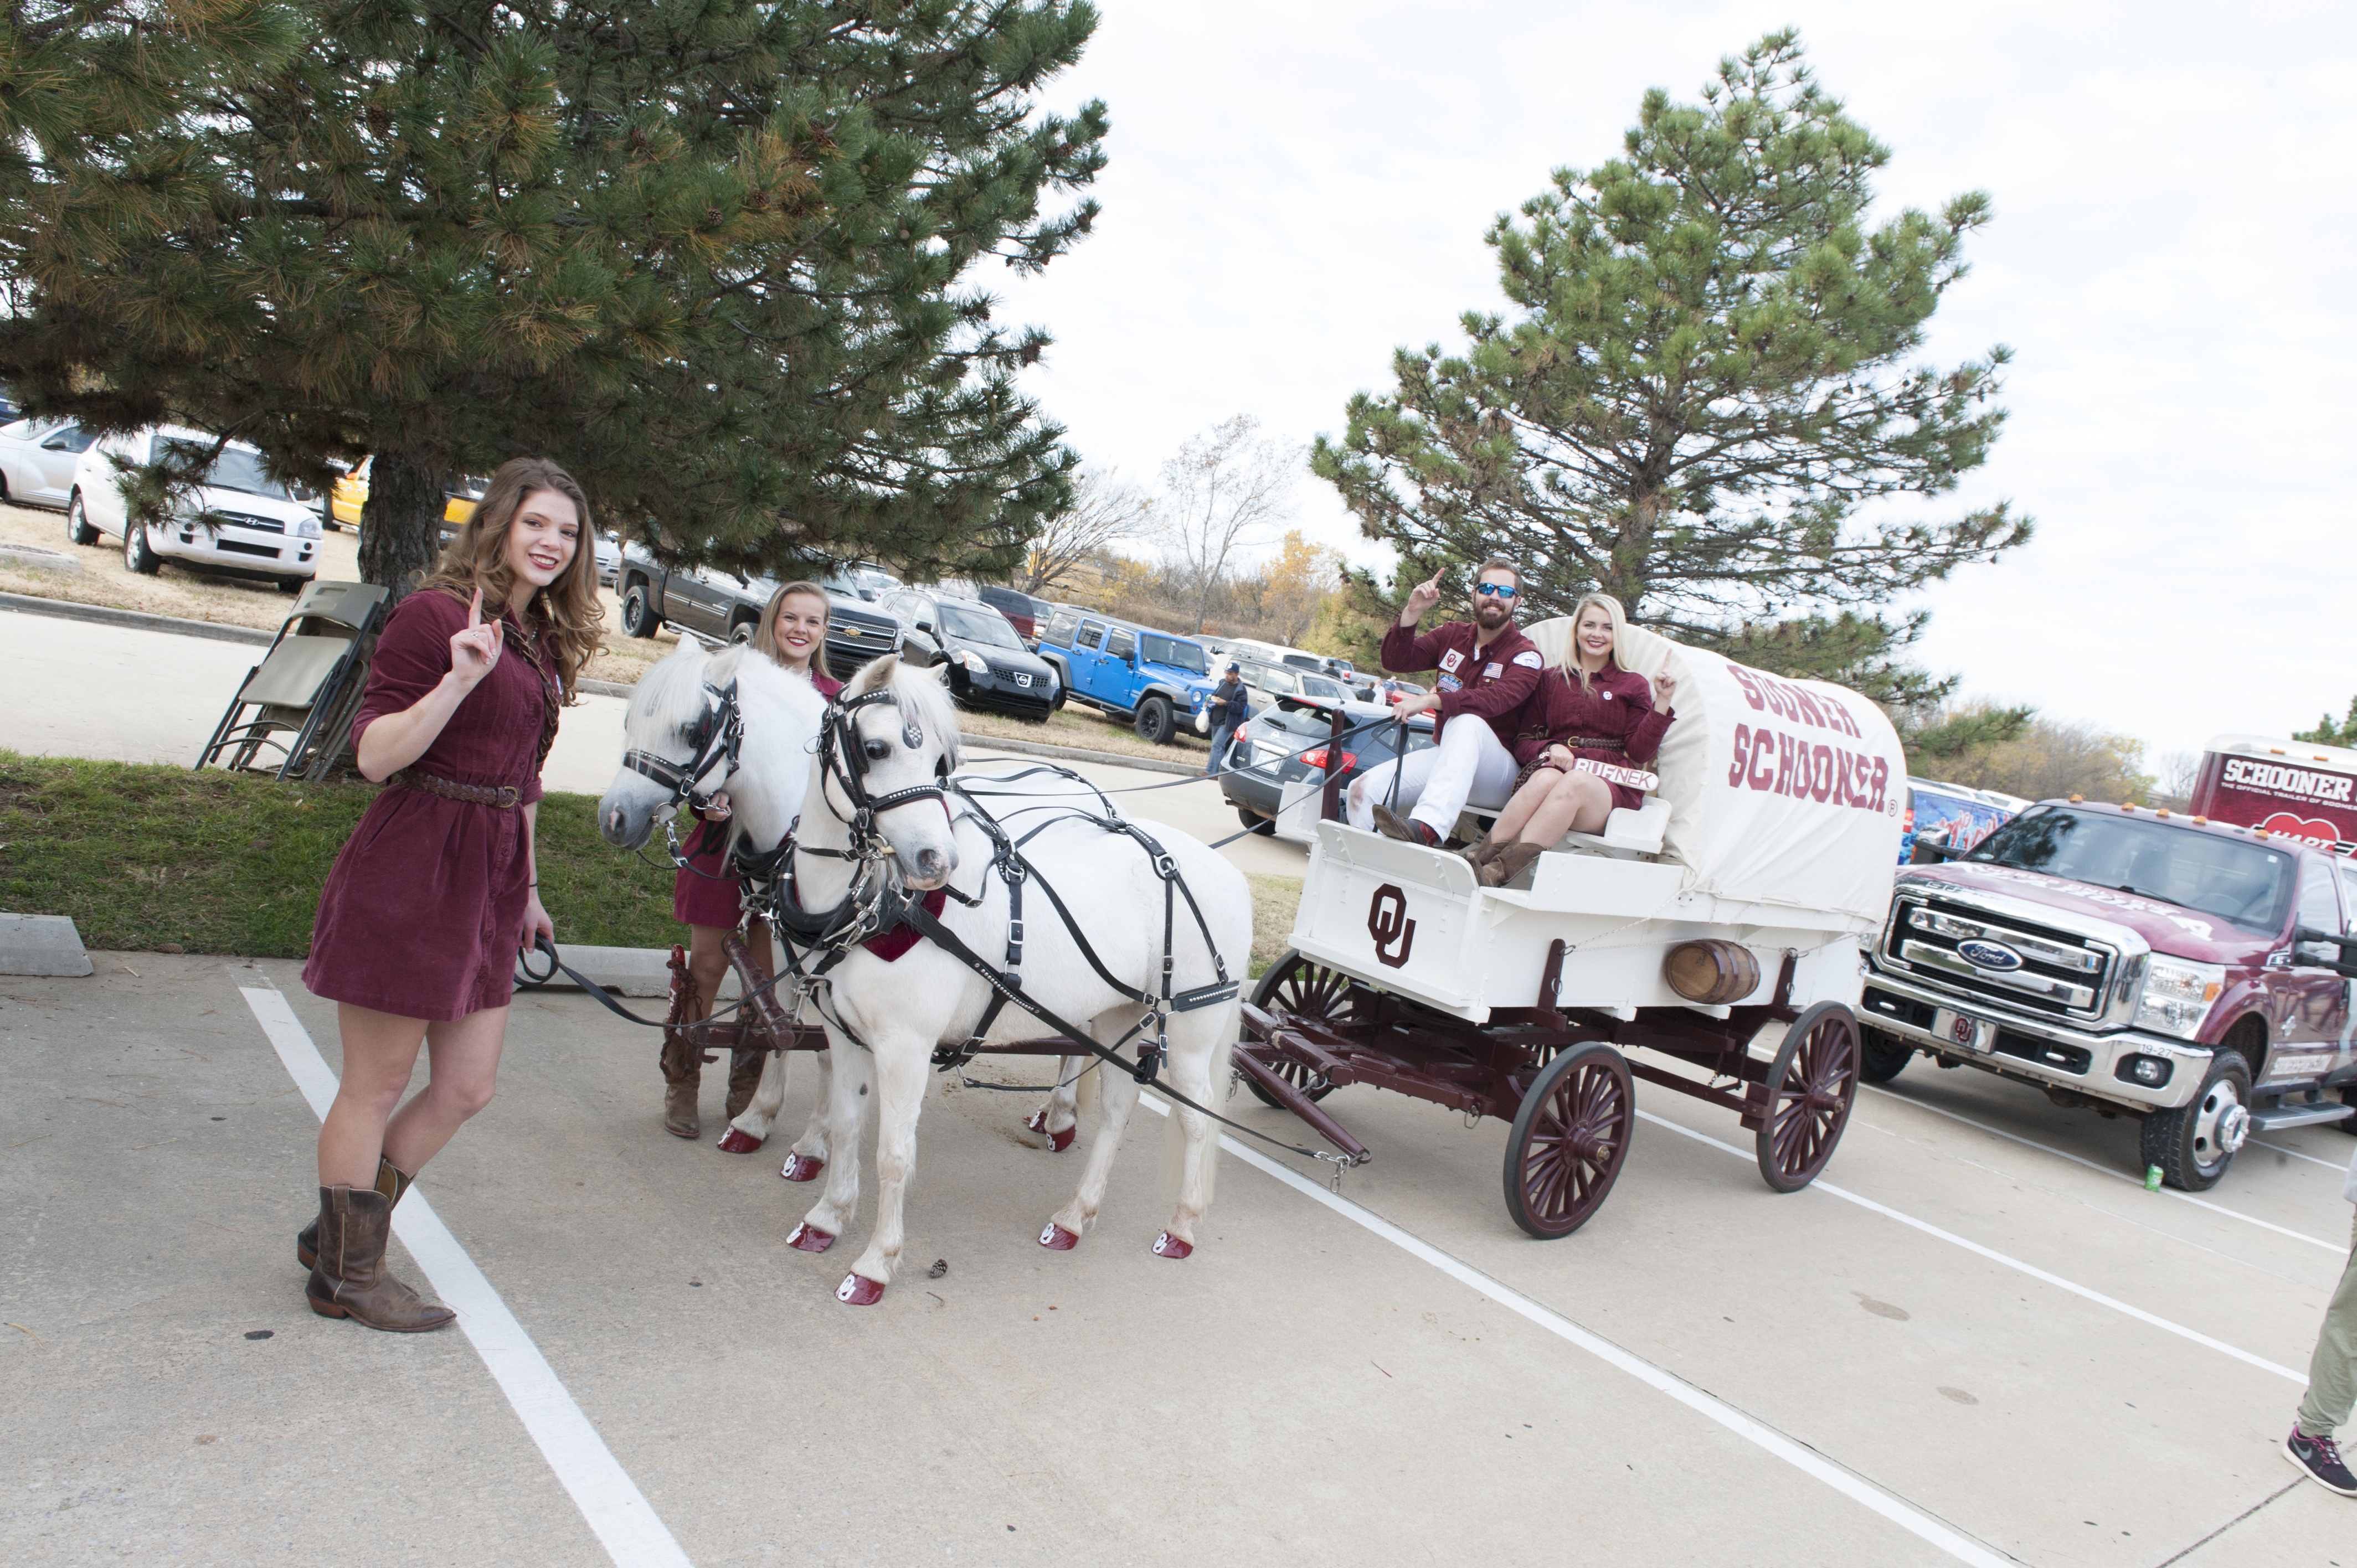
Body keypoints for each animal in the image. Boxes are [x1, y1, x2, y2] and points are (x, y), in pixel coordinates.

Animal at [782, 655, 1254, 1301]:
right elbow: (849, 1126)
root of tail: (1230, 873)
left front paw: (876, 1262)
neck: (883, 909)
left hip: (1189, 1028)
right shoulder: (845, 1033)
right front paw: (827, 1218)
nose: (937, 863)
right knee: (1116, 1109)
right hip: (1119, 1015)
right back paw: (1074, 1217)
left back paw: (1181, 1226)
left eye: (941, 762)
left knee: (1195, 1114)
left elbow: (894, 1154)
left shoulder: (904, 1047)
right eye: (875, 749)